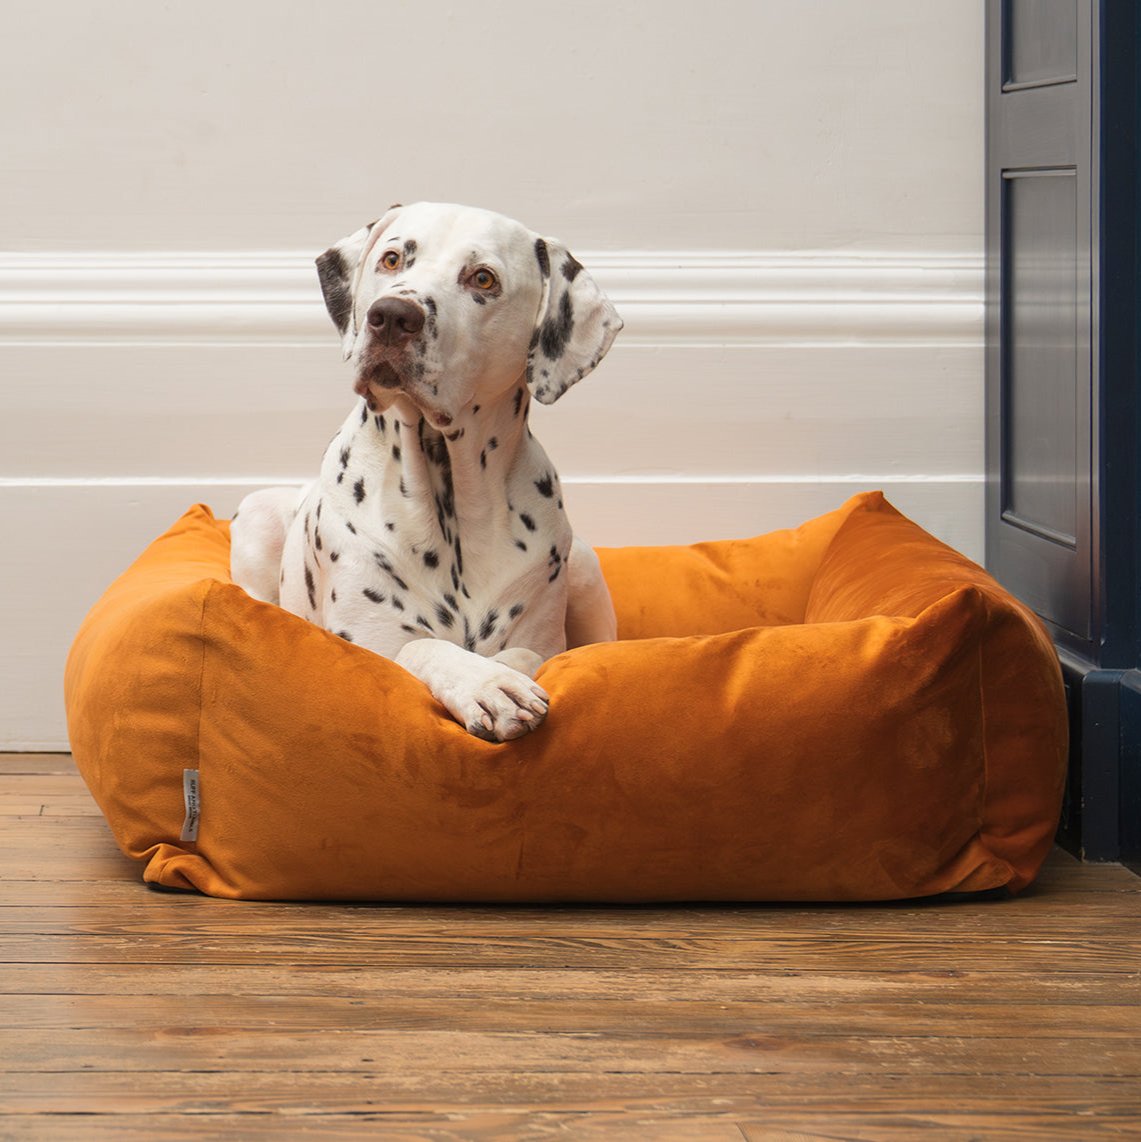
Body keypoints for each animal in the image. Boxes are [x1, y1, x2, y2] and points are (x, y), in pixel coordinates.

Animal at [231, 204, 625, 740]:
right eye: (393, 259)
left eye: (483, 278)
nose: (393, 316)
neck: (449, 496)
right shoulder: (368, 641)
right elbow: (420, 646)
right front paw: (485, 685)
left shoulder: (543, 635)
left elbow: (527, 654)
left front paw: (501, 675)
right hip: (257, 514)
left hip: (582, 563)